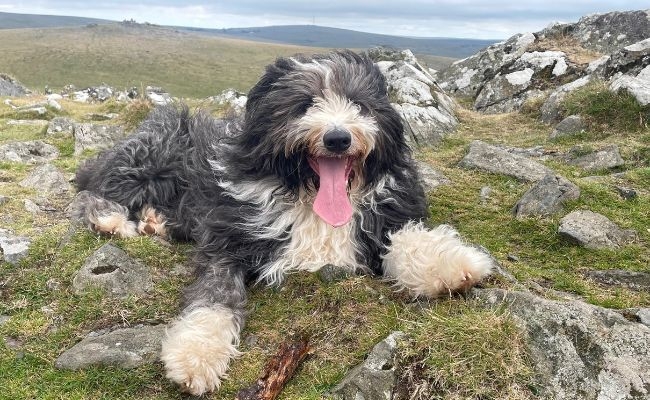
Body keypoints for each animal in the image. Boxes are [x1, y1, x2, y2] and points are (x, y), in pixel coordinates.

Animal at [72, 49, 492, 394]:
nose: (337, 138)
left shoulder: (386, 216)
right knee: (89, 191)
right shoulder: (225, 241)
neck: (308, 198)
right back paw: (111, 218)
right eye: (304, 105)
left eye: (359, 105)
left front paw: (451, 265)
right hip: (154, 152)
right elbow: (215, 295)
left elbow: (406, 238)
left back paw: (154, 221)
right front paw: (195, 355)